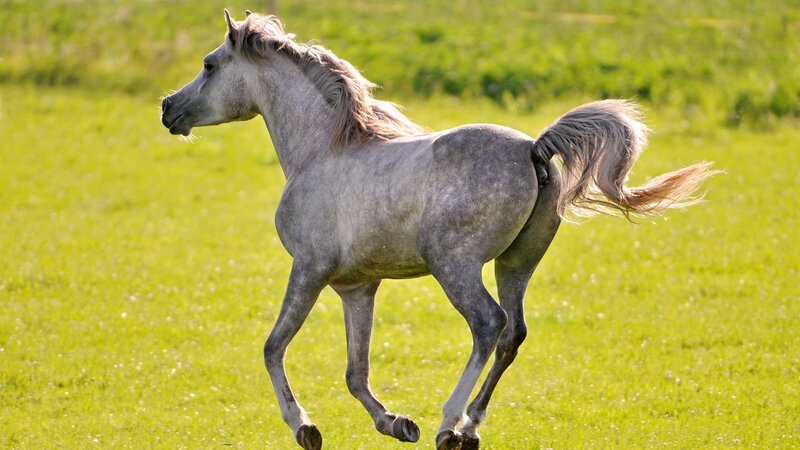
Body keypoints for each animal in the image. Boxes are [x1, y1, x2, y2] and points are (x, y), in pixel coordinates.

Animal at [161, 10, 717, 450]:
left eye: (209, 65)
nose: (168, 108)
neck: (323, 150)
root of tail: (534, 148)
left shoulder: (310, 270)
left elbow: (273, 347)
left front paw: (305, 427)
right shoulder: (357, 287)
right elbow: (355, 373)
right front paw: (396, 423)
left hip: (455, 265)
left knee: (489, 325)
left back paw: (449, 425)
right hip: (516, 265)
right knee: (513, 332)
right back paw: (470, 428)